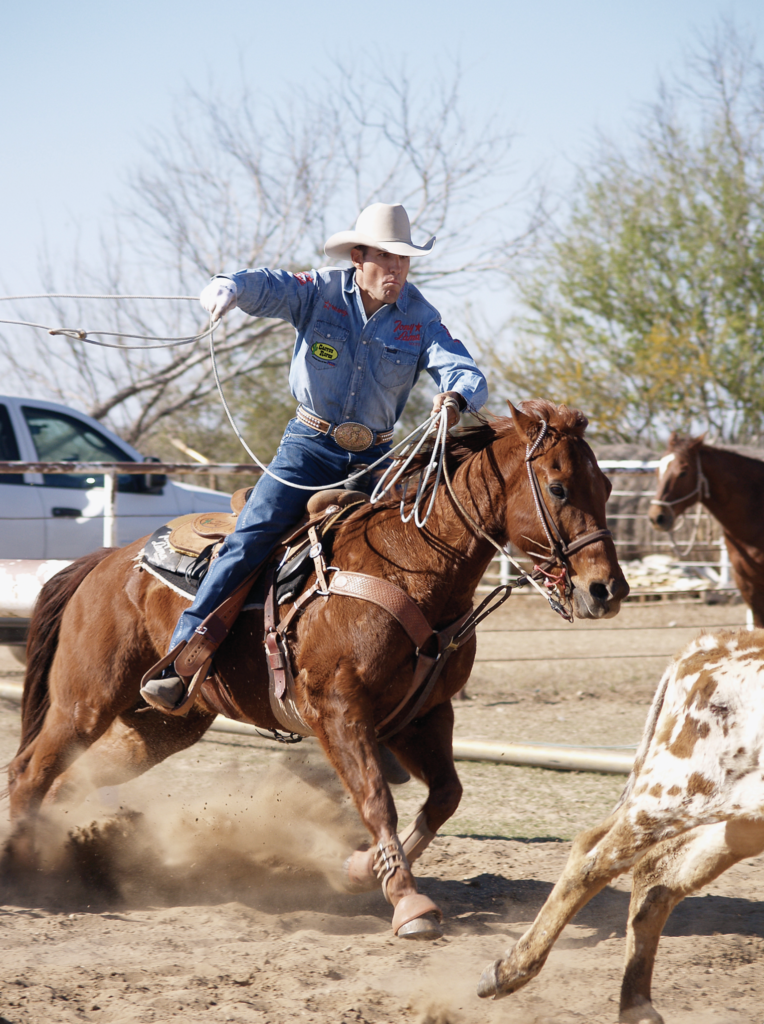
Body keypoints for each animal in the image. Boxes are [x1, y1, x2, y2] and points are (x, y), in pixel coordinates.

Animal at [5, 400, 628, 939]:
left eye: (607, 486)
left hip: (161, 726)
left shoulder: (423, 714)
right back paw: (22, 869)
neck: (411, 566)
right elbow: (376, 798)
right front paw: (409, 904)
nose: (607, 590)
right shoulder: (337, 709)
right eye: (557, 486)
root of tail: (104, 562)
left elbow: (445, 796)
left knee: (72, 778)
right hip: (85, 700)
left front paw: (360, 870)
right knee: (31, 771)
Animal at [478, 626, 764, 1023]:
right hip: (673, 792)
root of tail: (710, 644)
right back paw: (512, 970)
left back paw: (637, 1005)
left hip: (738, 819)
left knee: (654, 874)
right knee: (595, 865)